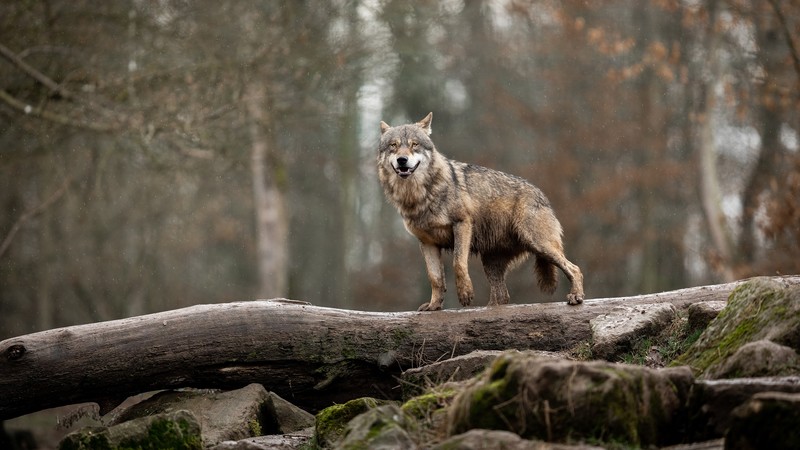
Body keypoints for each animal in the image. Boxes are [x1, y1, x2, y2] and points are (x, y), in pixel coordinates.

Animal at [377, 112, 585, 311]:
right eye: (393, 146)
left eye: (415, 145)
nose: (402, 160)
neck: (419, 195)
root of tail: (541, 194)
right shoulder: (427, 243)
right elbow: (435, 278)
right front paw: (434, 305)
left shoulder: (462, 224)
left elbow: (458, 263)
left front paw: (465, 294)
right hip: (491, 262)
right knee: (502, 297)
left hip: (539, 245)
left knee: (575, 268)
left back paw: (576, 296)